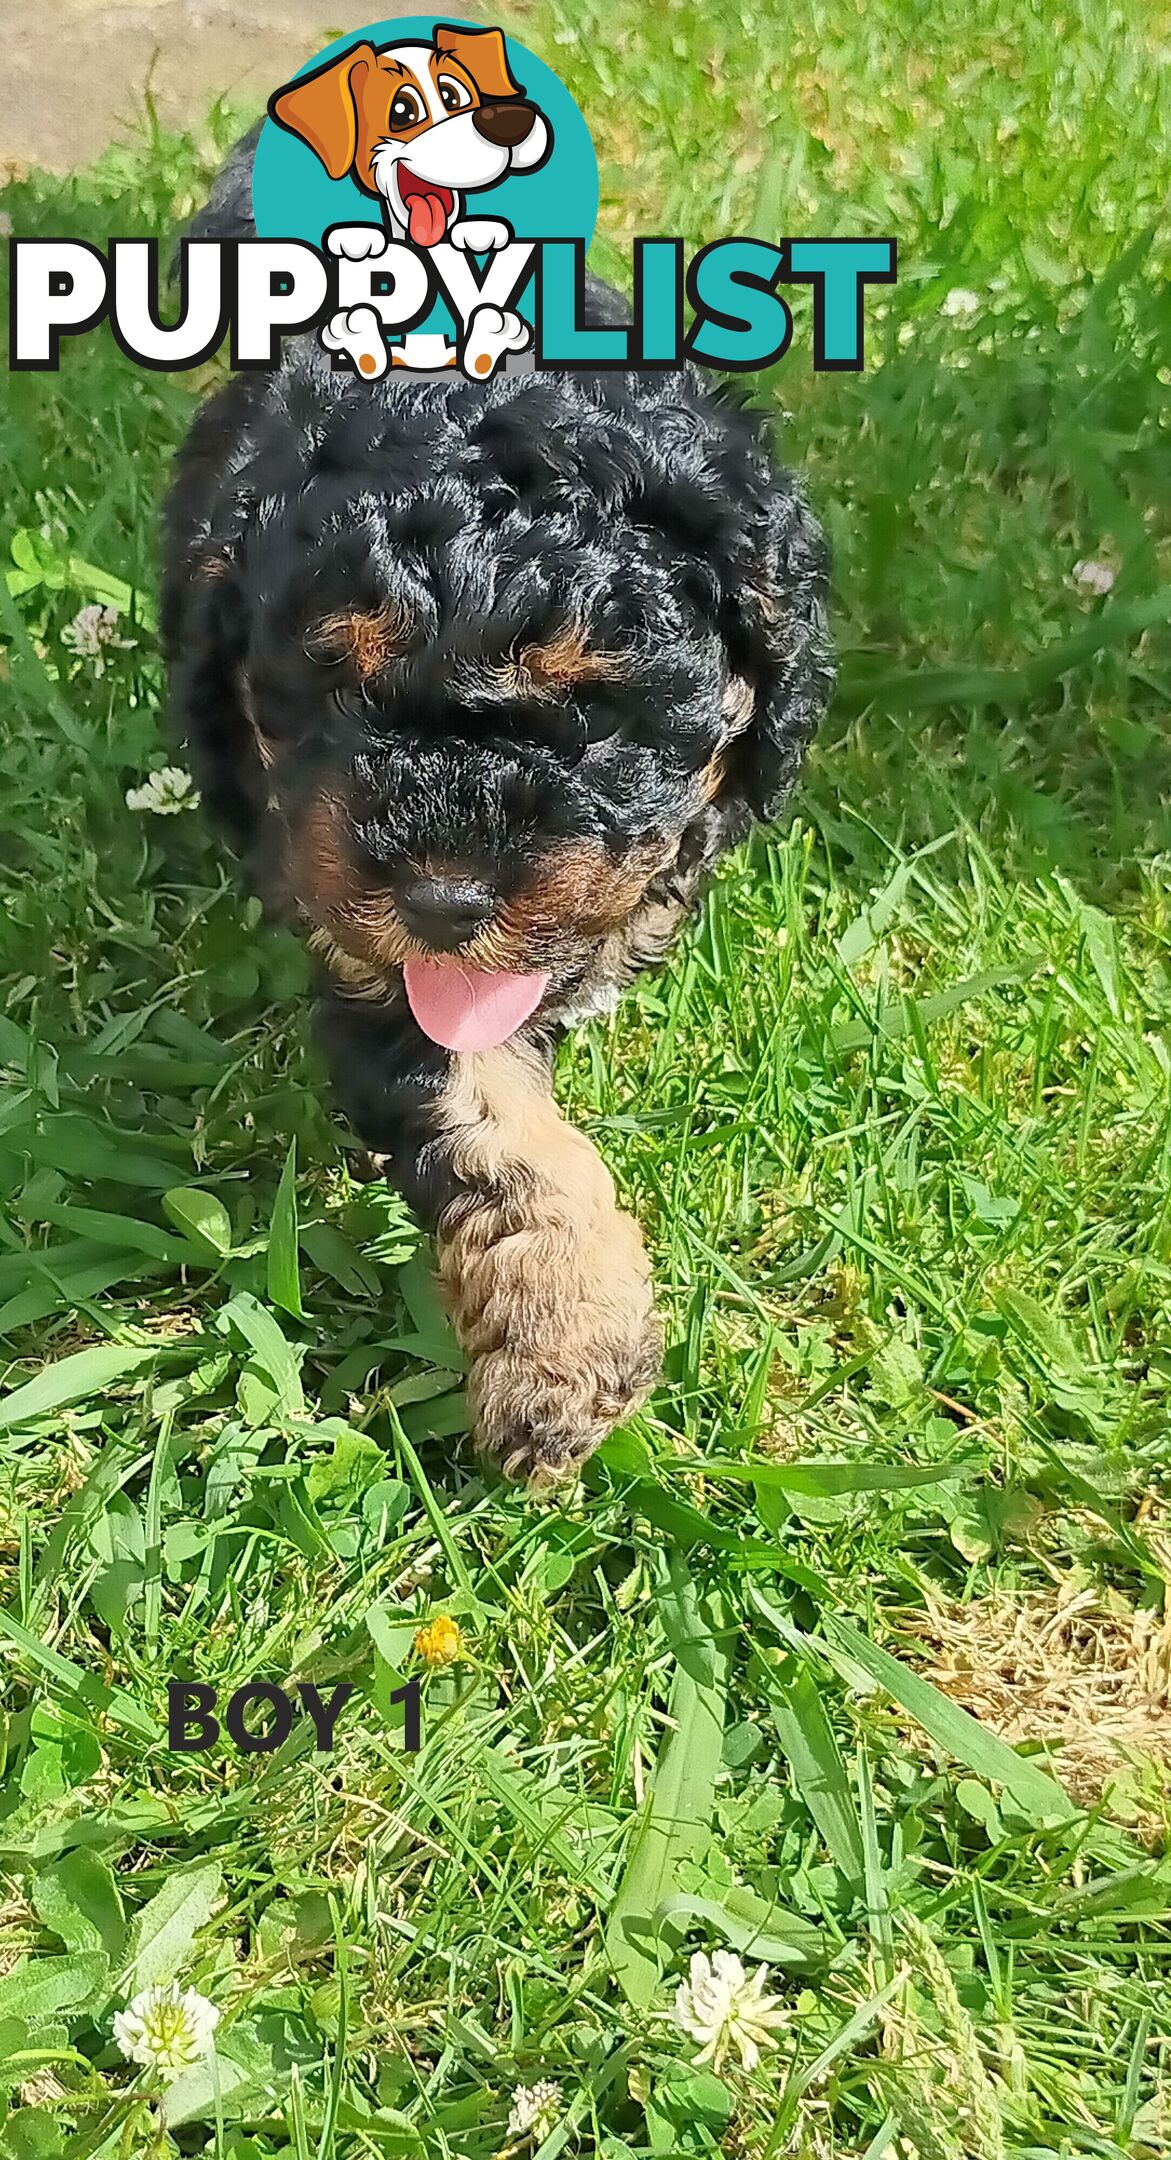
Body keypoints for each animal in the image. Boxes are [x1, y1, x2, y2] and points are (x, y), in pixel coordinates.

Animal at [165, 147, 833, 1486]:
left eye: (598, 707)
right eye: (331, 693)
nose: (442, 901)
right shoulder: (375, 966)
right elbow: (490, 1121)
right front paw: (561, 1354)